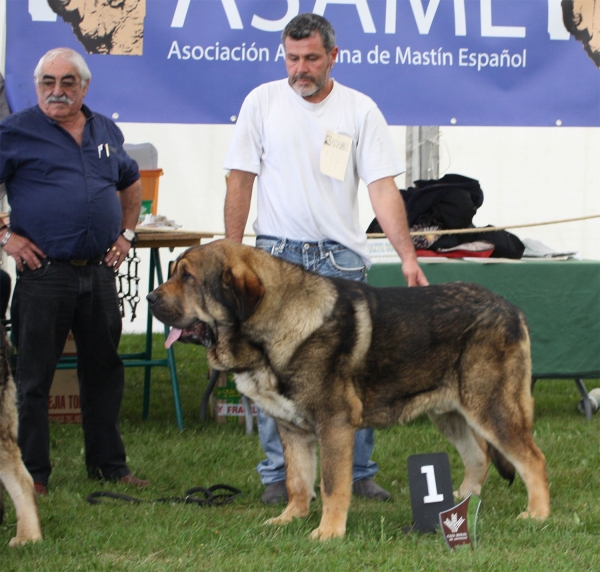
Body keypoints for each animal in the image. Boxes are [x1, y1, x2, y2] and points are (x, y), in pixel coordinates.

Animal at [148, 238, 552, 540]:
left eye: (188, 277)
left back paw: (537, 513)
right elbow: (297, 480)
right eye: (173, 273)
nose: (151, 298)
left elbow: (331, 484)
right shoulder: (292, 430)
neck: (273, 329)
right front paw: (290, 518)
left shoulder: (335, 425)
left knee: (532, 459)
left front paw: (328, 532)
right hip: (450, 413)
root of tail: (511, 308)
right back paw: (457, 505)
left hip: (491, 407)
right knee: (479, 456)